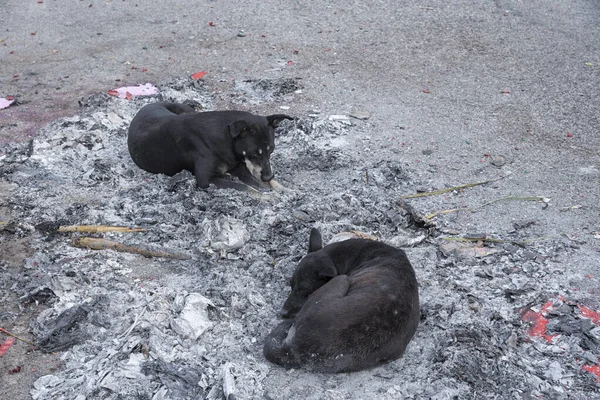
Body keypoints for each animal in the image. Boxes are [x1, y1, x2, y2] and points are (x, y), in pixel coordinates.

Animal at [128, 101, 292, 192]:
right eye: (254, 153)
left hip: (185, 110)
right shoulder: (205, 180)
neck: (226, 139)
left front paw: (283, 189)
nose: (268, 175)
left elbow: (260, 182)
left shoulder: (239, 166)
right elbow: (246, 187)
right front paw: (268, 197)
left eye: (271, 150)